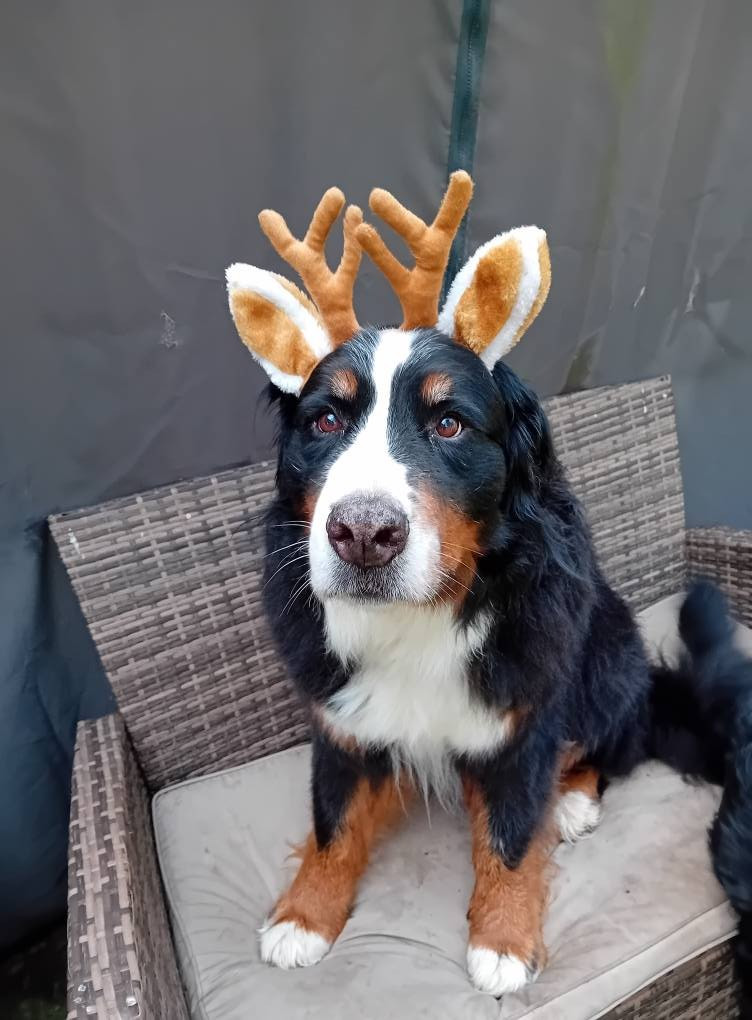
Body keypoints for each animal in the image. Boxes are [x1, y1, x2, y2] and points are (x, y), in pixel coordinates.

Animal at [225, 174, 742, 995]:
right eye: (326, 420)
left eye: (449, 424)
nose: (363, 535)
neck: (421, 617)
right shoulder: (340, 717)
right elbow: (333, 821)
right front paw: (304, 917)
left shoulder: (525, 717)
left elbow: (510, 836)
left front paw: (502, 939)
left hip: (609, 657)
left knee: (615, 741)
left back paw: (572, 801)